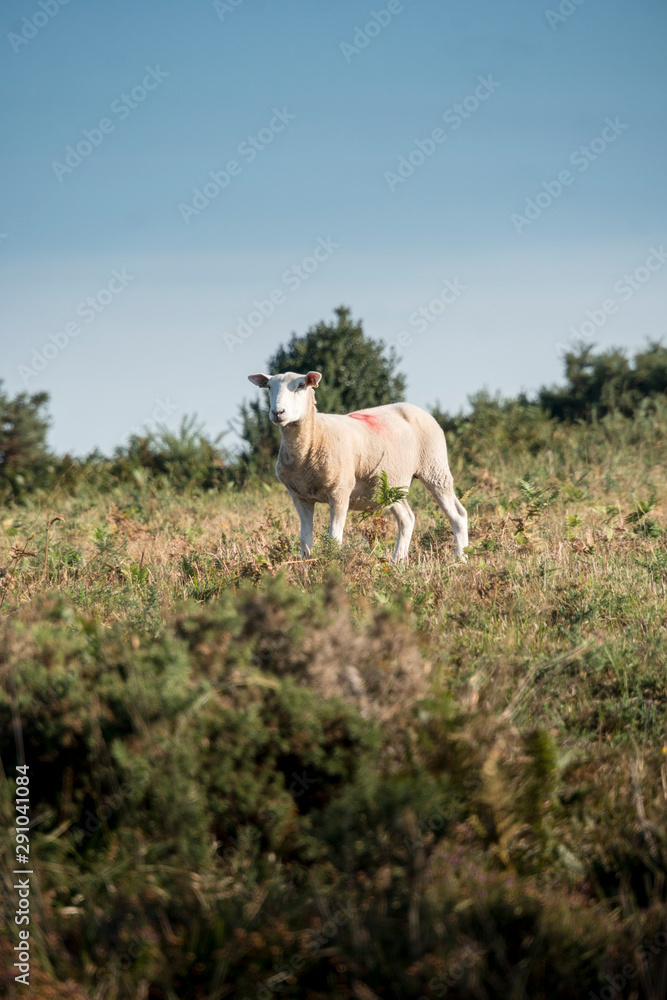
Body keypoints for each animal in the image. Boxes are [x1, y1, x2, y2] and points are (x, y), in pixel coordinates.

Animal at [247, 374, 470, 564]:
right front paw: (306, 567)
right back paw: (397, 563)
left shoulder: (339, 492)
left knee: (457, 516)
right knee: (407, 518)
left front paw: (332, 566)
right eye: (269, 387)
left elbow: (334, 539)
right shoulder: (299, 496)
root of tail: (416, 408)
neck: (313, 437)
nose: (278, 413)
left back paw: (460, 559)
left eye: (301, 385)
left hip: (435, 468)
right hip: (391, 484)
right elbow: (305, 540)